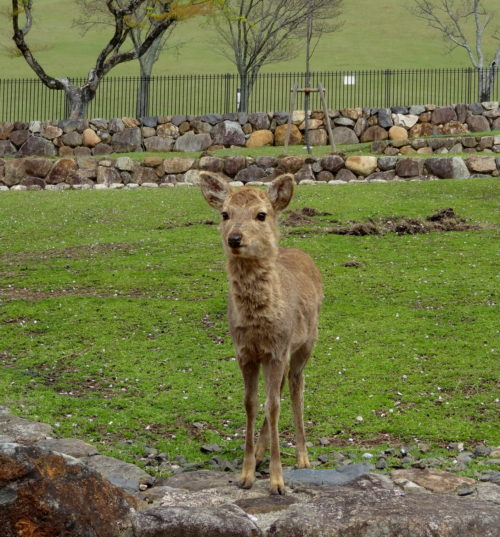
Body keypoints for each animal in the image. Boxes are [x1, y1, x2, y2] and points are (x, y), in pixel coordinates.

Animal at [200, 172, 322, 494]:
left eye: (261, 214)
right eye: (225, 213)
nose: (234, 238)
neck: (259, 324)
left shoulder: (278, 349)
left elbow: (275, 406)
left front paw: (278, 482)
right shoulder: (245, 352)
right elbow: (252, 404)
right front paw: (247, 473)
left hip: (306, 343)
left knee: (295, 387)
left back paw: (303, 457)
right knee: (278, 391)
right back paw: (261, 452)